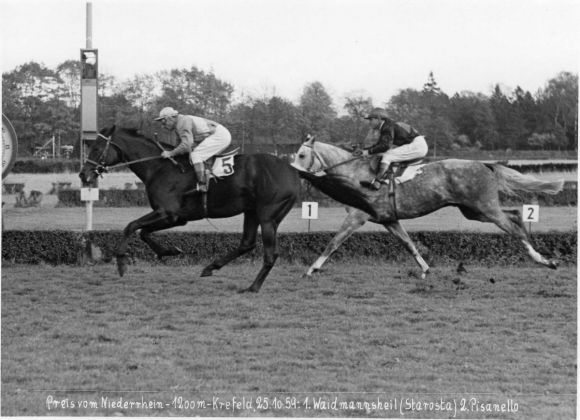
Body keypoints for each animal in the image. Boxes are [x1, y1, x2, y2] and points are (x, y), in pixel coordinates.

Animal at [292, 136, 564, 278]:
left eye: (302, 155)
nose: (295, 172)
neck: (353, 174)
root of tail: (485, 165)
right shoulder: (388, 219)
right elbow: (408, 243)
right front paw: (424, 269)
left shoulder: (358, 216)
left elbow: (334, 242)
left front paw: (312, 268)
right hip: (475, 211)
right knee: (516, 214)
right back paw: (542, 255)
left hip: (484, 208)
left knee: (513, 227)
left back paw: (543, 260)